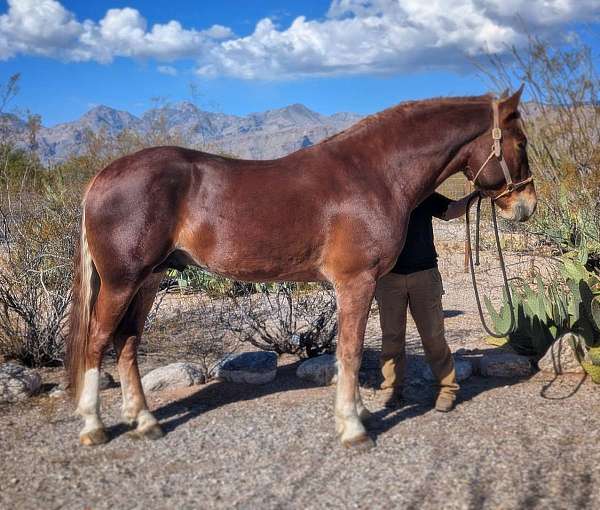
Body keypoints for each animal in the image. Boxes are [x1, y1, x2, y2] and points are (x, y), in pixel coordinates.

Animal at [68, 86, 536, 446]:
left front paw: (358, 413)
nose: (527, 206)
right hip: (121, 282)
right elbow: (348, 351)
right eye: (522, 143)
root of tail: (101, 177)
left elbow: (350, 352)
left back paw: (145, 421)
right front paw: (353, 428)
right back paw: (93, 428)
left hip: (149, 281)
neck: (375, 174)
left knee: (127, 342)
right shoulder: (356, 282)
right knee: (97, 342)